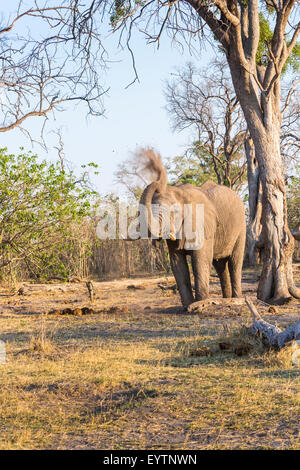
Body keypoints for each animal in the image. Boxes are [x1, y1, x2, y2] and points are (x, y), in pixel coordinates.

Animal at [138, 149, 246, 306]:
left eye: (175, 212)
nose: (153, 157)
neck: (181, 193)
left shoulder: (203, 225)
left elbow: (200, 261)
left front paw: (200, 304)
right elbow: (177, 264)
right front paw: (188, 306)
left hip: (241, 227)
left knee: (234, 263)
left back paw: (237, 300)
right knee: (220, 266)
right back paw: (227, 300)